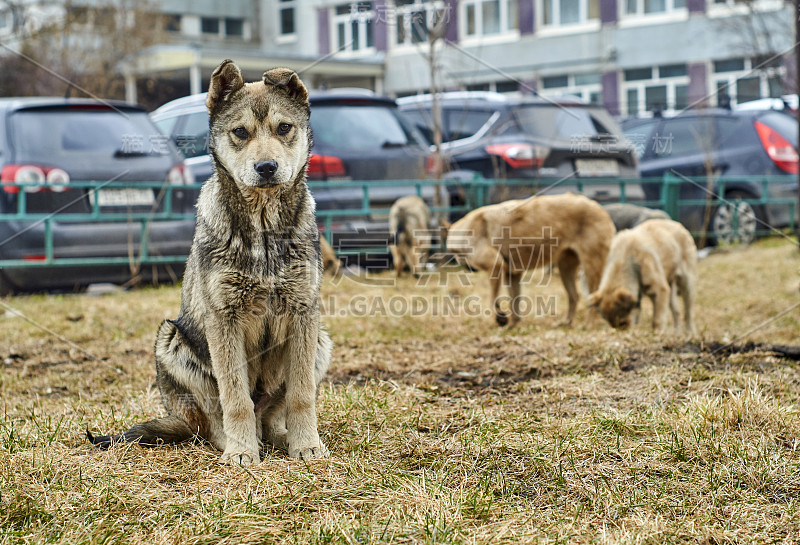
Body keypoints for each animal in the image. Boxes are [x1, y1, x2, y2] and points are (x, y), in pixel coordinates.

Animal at [89, 61, 332, 466]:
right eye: (240, 132)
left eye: (284, 128)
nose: (267, 167)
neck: (263, 230)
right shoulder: (224, 318)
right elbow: (235, 398)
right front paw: (241, 453)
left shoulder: (303, 313)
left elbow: (300, 395)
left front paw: (307, 446)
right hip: (171, 341)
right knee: (214, 421)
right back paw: (238, 443)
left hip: (321, 343)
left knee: (272, 415)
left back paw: (279, 438)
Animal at [446, 193, 616, 326]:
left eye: (456, 254)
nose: (463, 265)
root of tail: (600, 208)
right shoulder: (512, 275)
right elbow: (514, 302)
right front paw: (513, 325)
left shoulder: (496, 267)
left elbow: (493, 300)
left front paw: (501, 319)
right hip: (565, 268)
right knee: (574, 296)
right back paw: (566, 322)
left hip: (590, 268)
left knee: (593, 297)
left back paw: (588, 324)